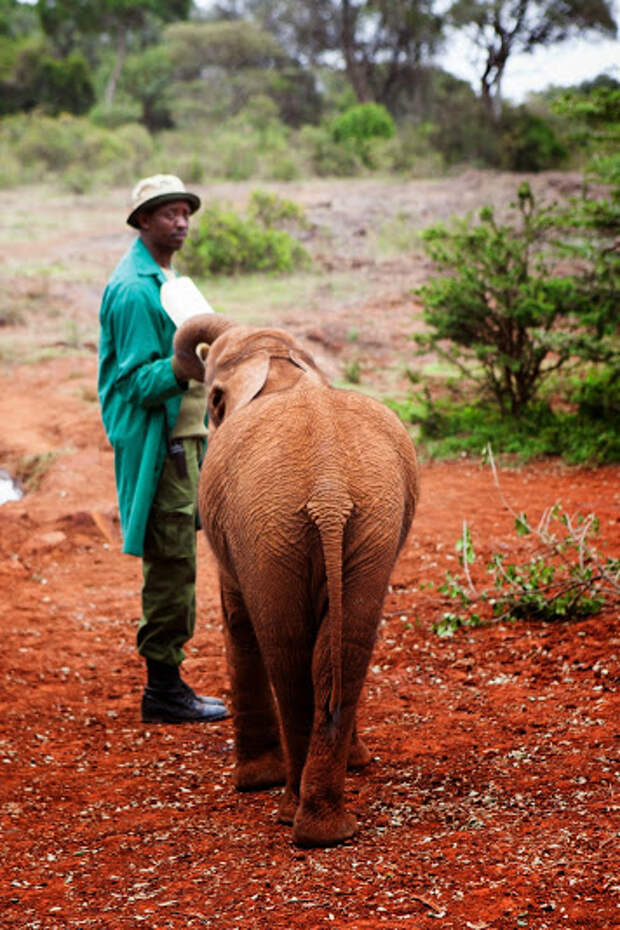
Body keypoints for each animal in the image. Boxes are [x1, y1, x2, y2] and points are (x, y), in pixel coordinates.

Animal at [172, 314, 418, 848]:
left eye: (212, 399)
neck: (281, 364)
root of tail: (329, 489)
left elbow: (238, 619)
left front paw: (252, 783)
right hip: (369, 522)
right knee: (342, 650)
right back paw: (328, 829)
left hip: (268, 529)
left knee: (284, 650)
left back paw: (292, 813)